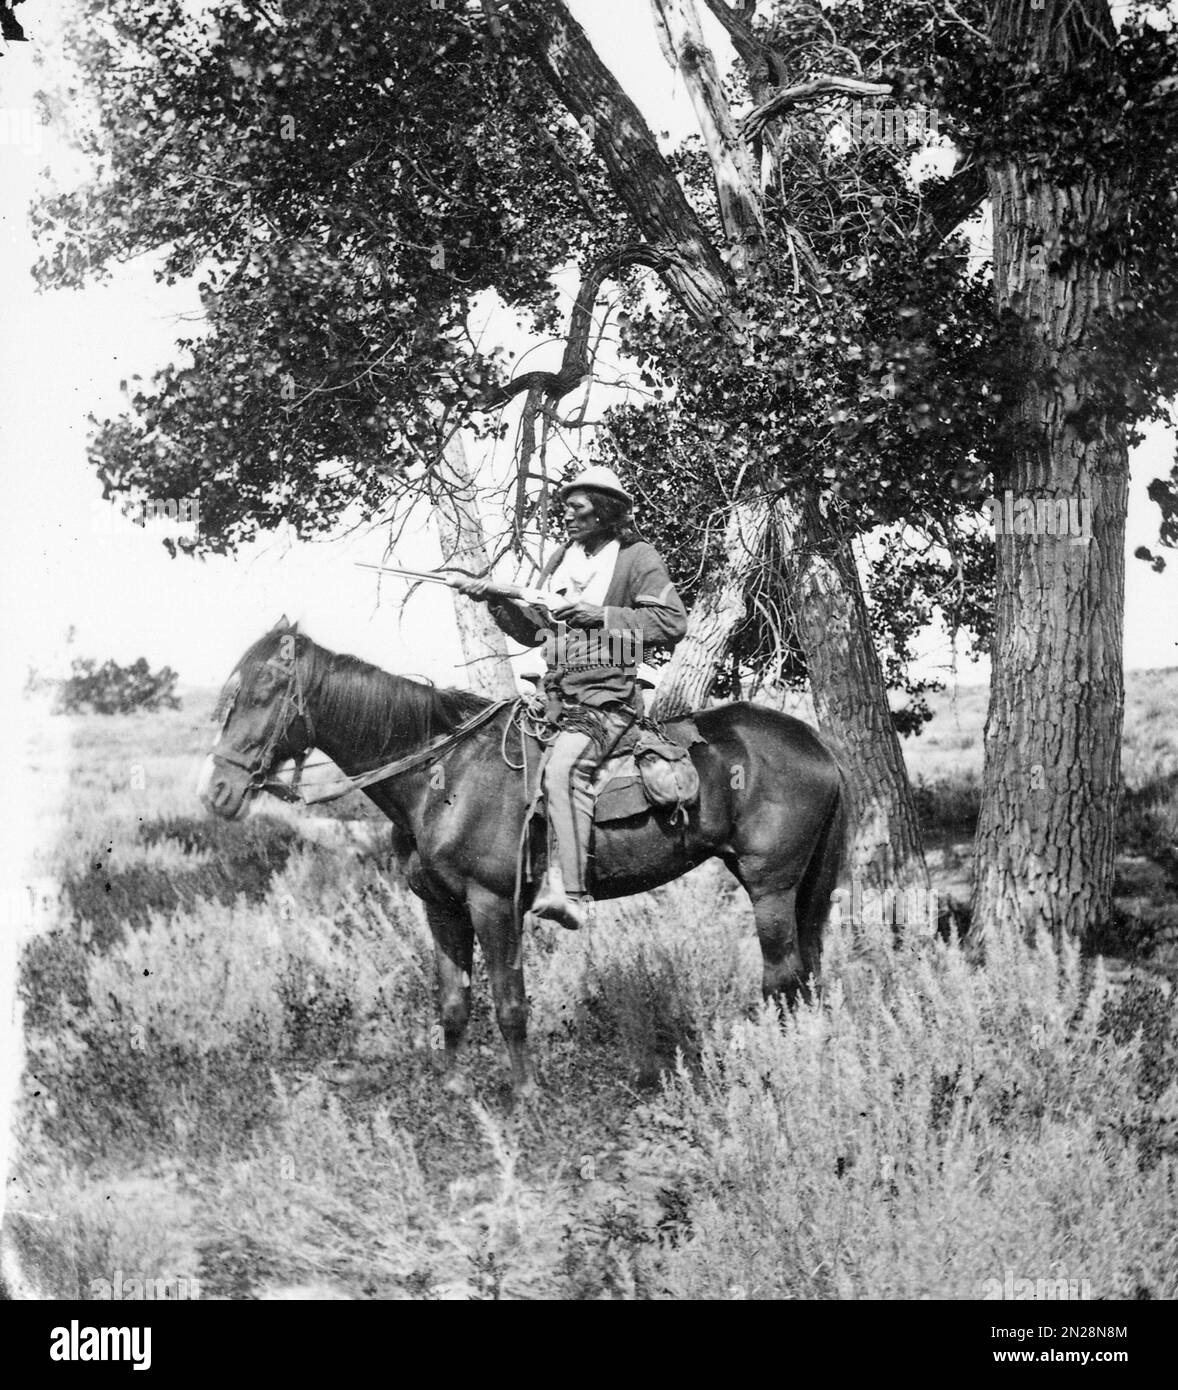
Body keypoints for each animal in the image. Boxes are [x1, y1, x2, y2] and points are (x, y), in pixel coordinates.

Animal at [204, 622, 845, 1095]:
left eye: (260, 694)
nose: (219, 793)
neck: (442, 774)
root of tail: (819, 747)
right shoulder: (441, 908)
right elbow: (454, 1001)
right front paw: (454, 1086)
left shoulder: (493, 905)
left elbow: (509, 1003)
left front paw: (526, 1092)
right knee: (805, 971)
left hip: (770, 886)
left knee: (783, 976)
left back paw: (776, 1062)